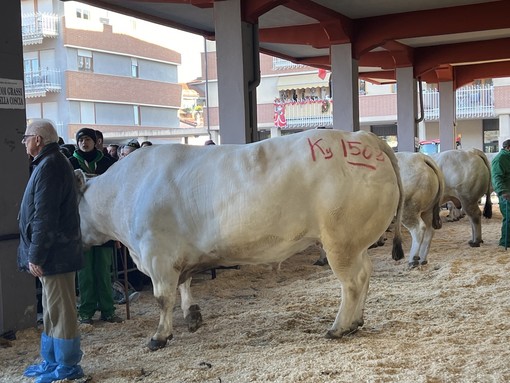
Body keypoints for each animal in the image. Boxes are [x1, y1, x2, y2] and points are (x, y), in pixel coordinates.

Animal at [75, 130, 404, 352]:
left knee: (352, 282)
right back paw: (357, 321)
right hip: (355, 242)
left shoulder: (157, 254)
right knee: (366, 274)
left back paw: (339, 327)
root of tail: (362, 137)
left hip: (340, 242)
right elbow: (185, 284)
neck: (123, 191)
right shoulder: (177, 255)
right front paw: (192, 315)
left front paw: (159, 336)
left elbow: (163, 298)